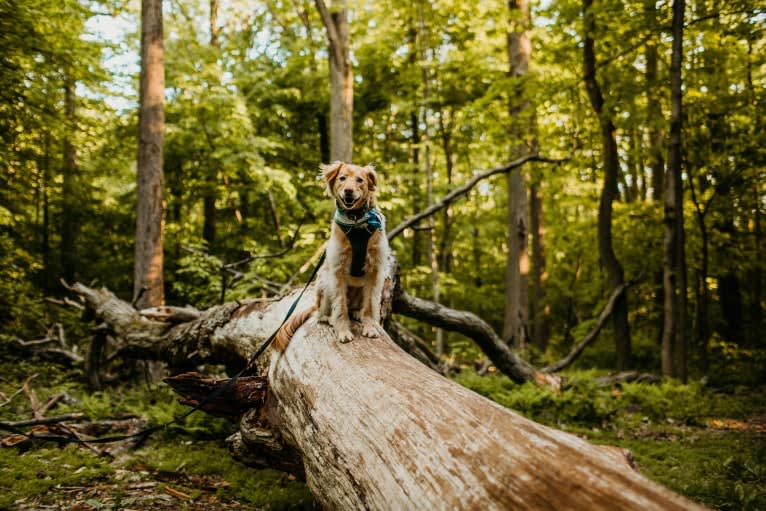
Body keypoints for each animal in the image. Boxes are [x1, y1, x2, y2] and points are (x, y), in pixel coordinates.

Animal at [272, 161, 390, 352]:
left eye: (360, 180)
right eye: (342, 178)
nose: (348, 191)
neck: (355, 221)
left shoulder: (375, 269)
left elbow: (370, 306)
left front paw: (369, 327)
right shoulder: (338, 270)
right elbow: (340, 307)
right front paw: (343, 331)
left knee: (356, 307)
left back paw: (357, 313)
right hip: (325, 284)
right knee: (321, 314)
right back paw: (329, 318)